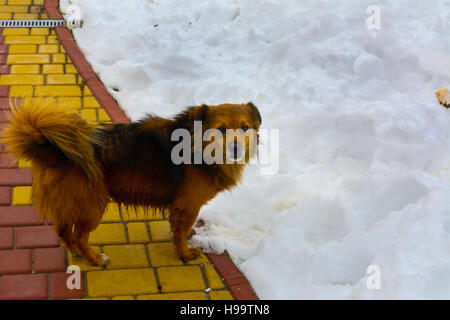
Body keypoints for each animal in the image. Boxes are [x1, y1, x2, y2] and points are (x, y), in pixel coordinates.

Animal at [0, 99, 260, 264]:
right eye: (221, 130)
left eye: (244, 127)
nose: (236, 148)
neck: (197, 146)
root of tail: (53, 148)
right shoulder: (187, 205)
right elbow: (180, 231)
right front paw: (185, 253)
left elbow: (181, 229)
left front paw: (186, 237)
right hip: (92, 205)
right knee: (80, 236)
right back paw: (95, 259)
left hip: (72, 203)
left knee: (64, 231)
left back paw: (77, 253)